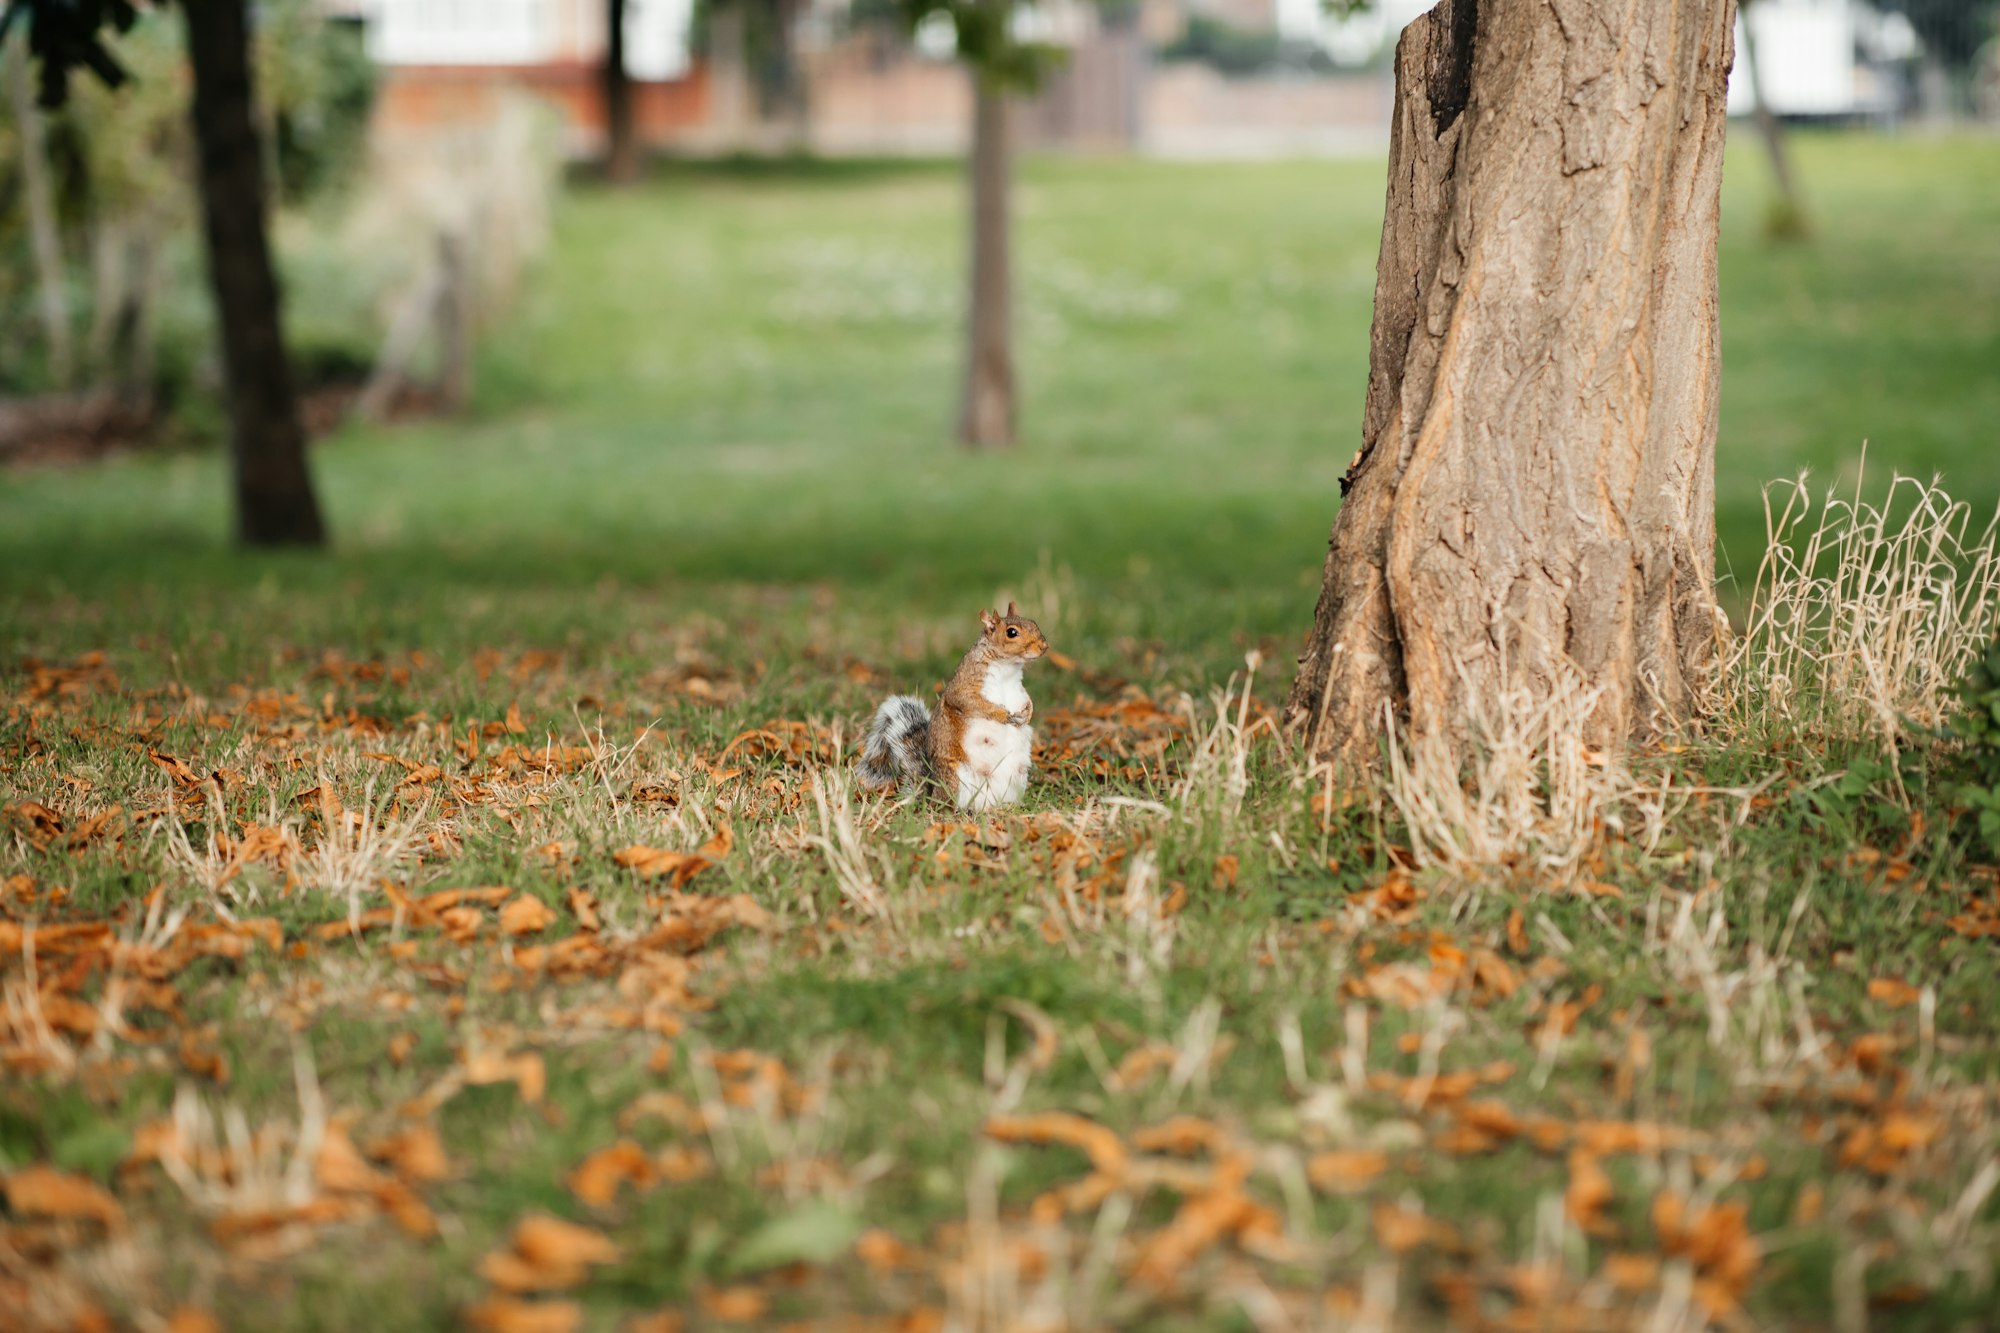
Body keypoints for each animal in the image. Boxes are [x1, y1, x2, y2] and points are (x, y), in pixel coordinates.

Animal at [856, 600, 1048, 808]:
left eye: (1033, 622)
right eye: (1012, 632)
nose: (1044, 646)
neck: (1007, 668)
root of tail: (932, 795)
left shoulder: (1018, 690)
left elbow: (1026, 699)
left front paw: (1028, 713)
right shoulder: (963, 688)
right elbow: (973, 703)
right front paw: (1002, 715)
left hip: (1017, 778)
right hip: (956, 778)